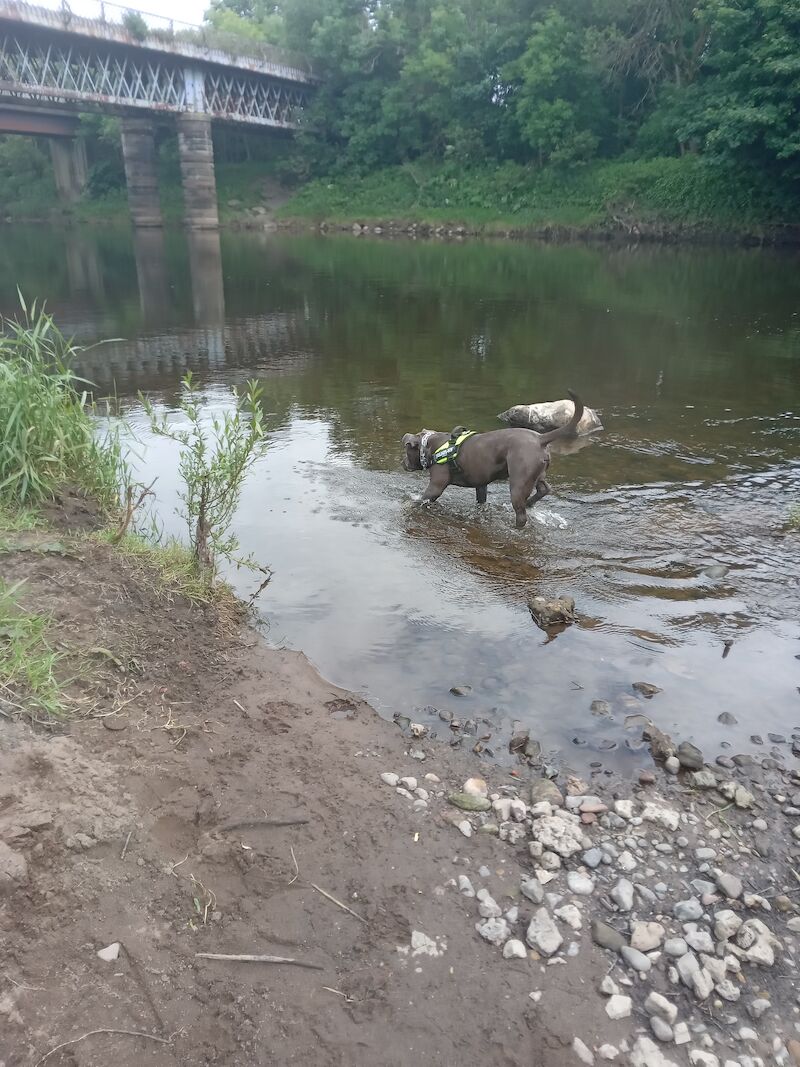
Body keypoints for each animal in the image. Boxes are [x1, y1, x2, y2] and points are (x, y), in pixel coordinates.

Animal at [403, 390, 584, 527]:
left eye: (405, 451)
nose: (402, 463)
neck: (429, 446)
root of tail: (540, 438)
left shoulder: (436, 485)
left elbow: (423, 498)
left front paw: (410, 502)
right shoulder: (481, 484)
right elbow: (481, 500)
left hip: (519, 482)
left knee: (521, 514)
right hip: (537, 474)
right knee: (544, 489)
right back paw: (530, 503)